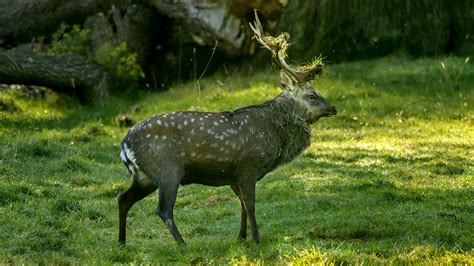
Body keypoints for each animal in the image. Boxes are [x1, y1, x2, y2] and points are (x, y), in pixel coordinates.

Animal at [118, 11, 336, 245]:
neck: (273, 136)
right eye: (312, 95)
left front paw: (241, 238)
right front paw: (256, 240)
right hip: (167, 169)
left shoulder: (233, 175)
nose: (333, 108)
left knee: (123, 199)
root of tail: (124, 145)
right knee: (163, 209)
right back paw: (183, 245)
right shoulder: (249, 165)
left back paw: (122, 243)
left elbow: (241, 206)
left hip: (145, 176)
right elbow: (250, 206)